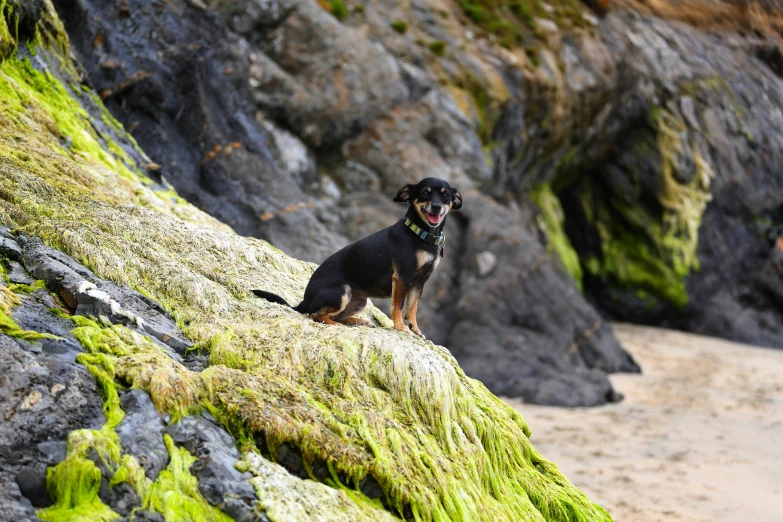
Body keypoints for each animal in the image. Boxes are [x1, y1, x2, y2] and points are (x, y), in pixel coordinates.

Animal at [251, 177, 462, 336]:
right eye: (425, 193)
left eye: (445, 195)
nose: (436, 206)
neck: (421, 234)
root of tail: (303, 301)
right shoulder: (402, 278)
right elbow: (398, 307)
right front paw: (401, 327)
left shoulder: (419, 283)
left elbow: (412, 308)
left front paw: (415, 329)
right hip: (341, 293)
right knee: (315, 315)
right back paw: (337, 323)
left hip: (360, 301)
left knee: (332, 315)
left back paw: (357, 321)